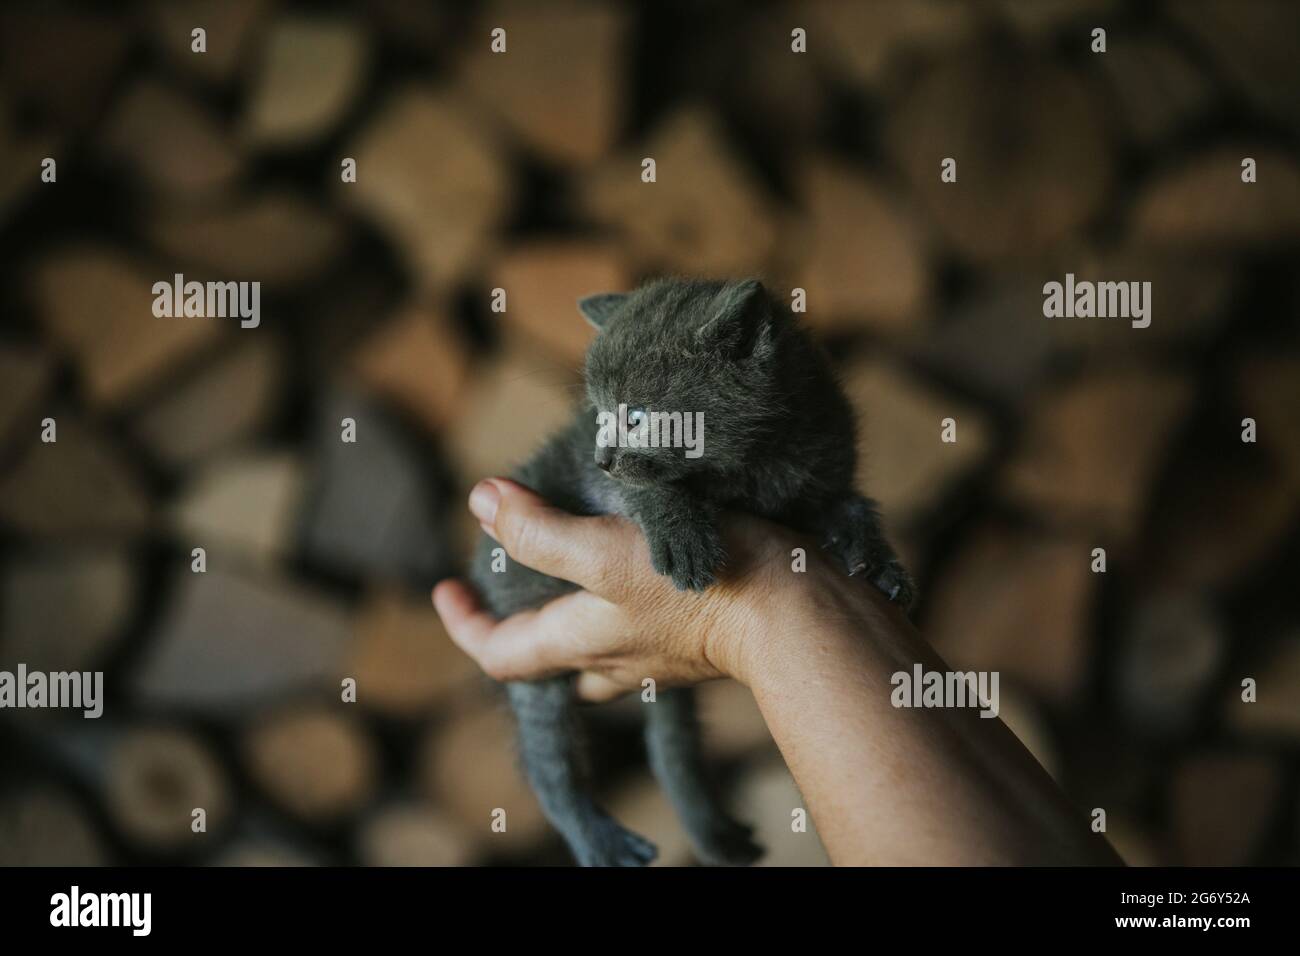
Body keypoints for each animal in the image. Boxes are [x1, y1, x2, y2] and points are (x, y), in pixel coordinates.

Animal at [470, 277, 915, 868]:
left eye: (636, 417)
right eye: (599, 414)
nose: (604, 455)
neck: (755, 463)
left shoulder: (823, 464)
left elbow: (853, 507)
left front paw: (883, 565)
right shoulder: (595, 481)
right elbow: (647, 487)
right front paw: (683, 539)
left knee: (673, 746)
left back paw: (716, 834)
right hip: (533, 657)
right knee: (549, 765)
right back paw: (599, 840)